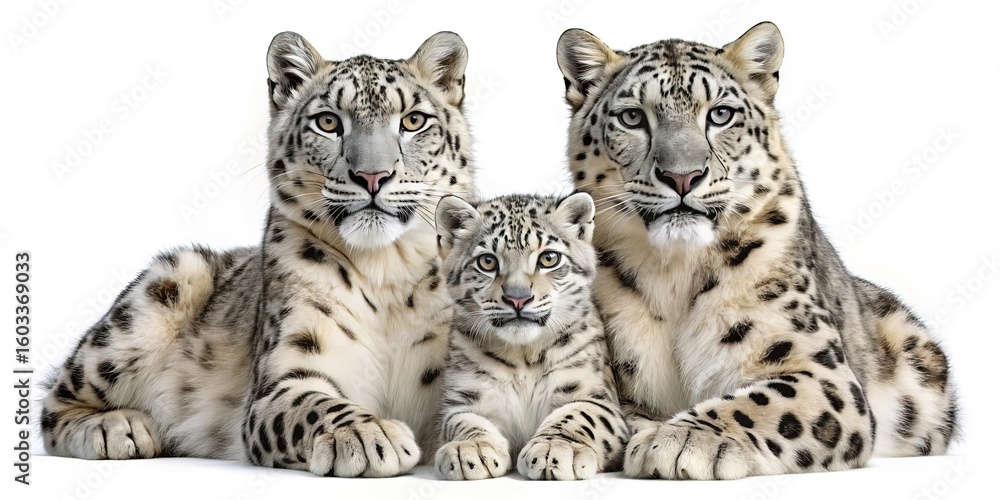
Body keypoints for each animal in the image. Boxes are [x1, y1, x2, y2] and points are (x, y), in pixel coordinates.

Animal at [40, 30, 475, 477]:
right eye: (328, 122)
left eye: (413, 121)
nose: (372, 175)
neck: (386, 270)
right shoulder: (283, 376)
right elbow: (314, 404)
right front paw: (367, 434)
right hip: (163, 288)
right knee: (55, 401)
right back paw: (118, 428)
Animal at [432, 193, 629, 480]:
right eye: (487, 261)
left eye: (549, 258)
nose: (518, 297)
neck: (523, 357)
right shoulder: (466, 396)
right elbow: (463, 420)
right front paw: (469, 449)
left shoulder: (593, 393)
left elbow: (579, 414)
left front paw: (554, 449)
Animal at [555, 22, 959, 479]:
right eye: (632, 117)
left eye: (720, 114)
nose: (683, 176)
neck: (675, 274)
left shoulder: (820, 369)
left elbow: (759, 402)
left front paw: (680, 439)